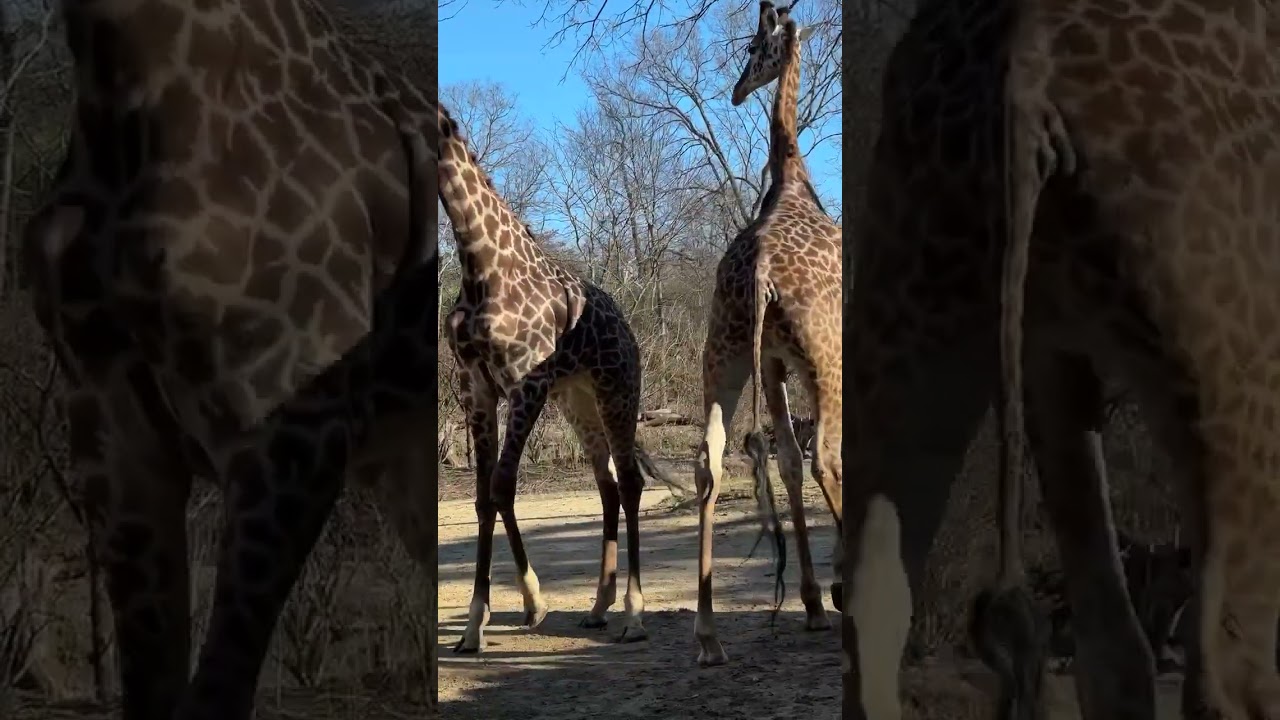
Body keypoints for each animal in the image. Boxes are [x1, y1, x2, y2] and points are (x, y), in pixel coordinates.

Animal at [438, 100, 689, 654]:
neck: (481, 266)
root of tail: (628, 327)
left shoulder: (524, 384)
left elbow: (502, 485)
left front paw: (528, 604)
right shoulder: (476, 388)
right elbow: (483, 495)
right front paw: (477, 624)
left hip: (619, 390)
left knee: (631, 482)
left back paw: (633, 616)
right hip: (577, 401)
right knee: (608, 485)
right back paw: (597, 608)